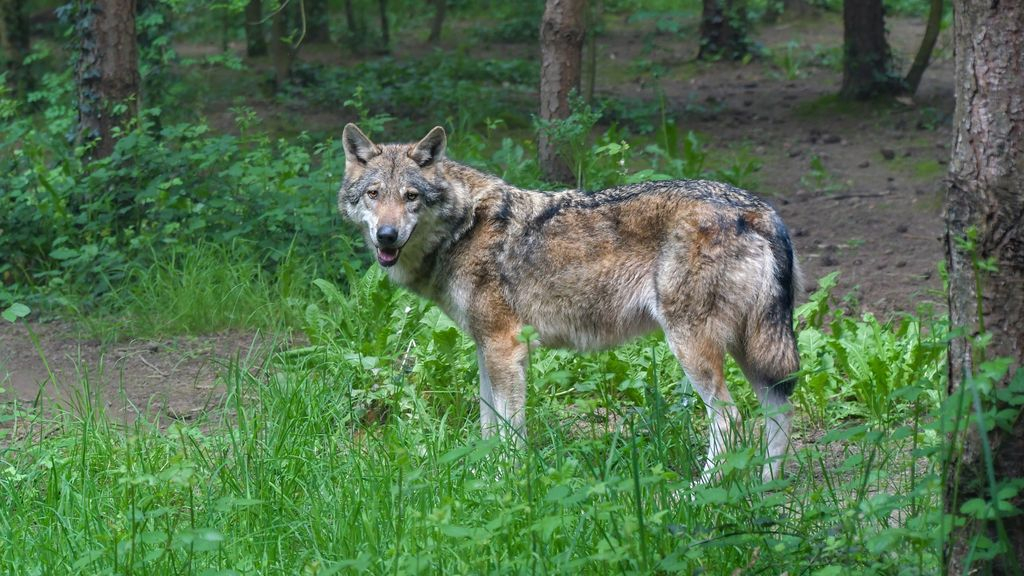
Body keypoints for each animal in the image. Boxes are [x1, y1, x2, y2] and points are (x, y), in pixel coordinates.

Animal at [338, 124, 801, 482]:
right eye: (374, 194)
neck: (464, 228)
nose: (386, 235)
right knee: (779, 411)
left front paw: (506, 482)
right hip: (751, 349)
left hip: (693, 348)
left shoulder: (506, 348)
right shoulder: (485, 349)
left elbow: (510, 431)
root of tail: (759, 211)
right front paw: (481, 479)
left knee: (730, 419)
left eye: (411, 196)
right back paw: (765, 488)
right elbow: (488, 427)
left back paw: (695, 494)